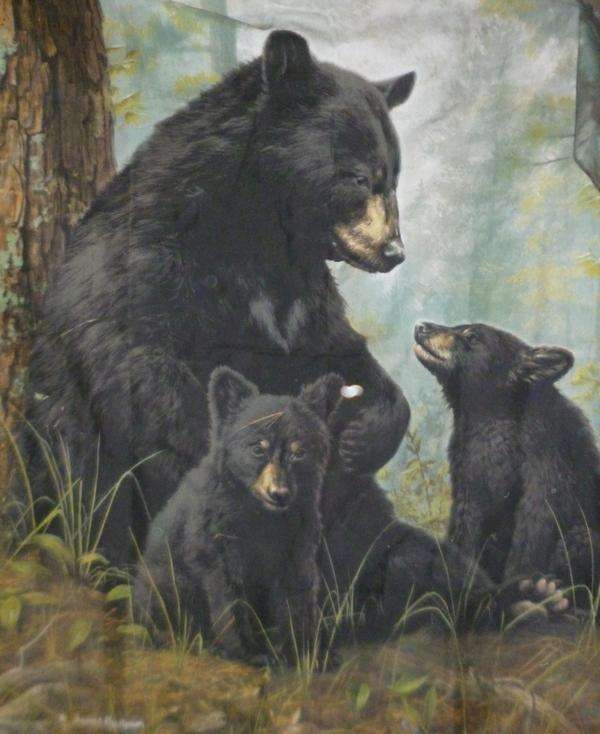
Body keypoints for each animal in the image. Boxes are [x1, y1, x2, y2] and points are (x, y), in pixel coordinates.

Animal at [21, 29, 414, 569]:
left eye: (393, 178)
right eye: (357, 176)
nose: (394, 251)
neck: (259, 236)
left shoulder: (300, 295)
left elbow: (336, 348)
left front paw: (366, 434)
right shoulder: (152, 264)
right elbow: (144, 369)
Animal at [134, 367, 345, 665]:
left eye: (299, 452)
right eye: (257, 448)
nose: (279, 493)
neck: (262, 517)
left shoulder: (297, 542)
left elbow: (297, 595)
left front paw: (307, 653)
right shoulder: (215, 541)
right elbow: (228, 598)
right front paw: (247, 653)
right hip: (168, 580)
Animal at [413, 320, 600, 611]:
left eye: (472, 336)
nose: (421, 325)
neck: (491, 420)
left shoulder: (548, 461)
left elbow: (531, 534)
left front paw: (518, 593)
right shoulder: (468, 477)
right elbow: (465, 533)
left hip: (583, 535)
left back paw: (549, 594)